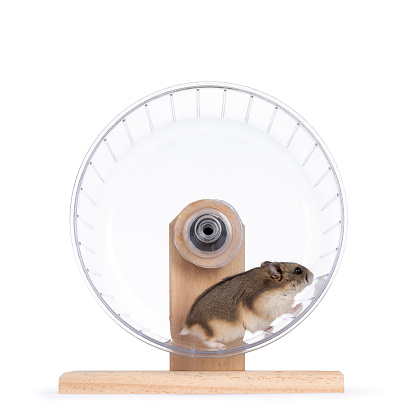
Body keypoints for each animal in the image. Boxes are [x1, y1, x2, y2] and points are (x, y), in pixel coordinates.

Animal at [180, 262, 314, 350]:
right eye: (298, 270)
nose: (313, 275)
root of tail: (188, 325)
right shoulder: (275, 306)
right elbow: (289, 309)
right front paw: (300, 306)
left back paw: (270, 328)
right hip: (217, 332)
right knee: (207, 341)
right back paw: (221, 346)